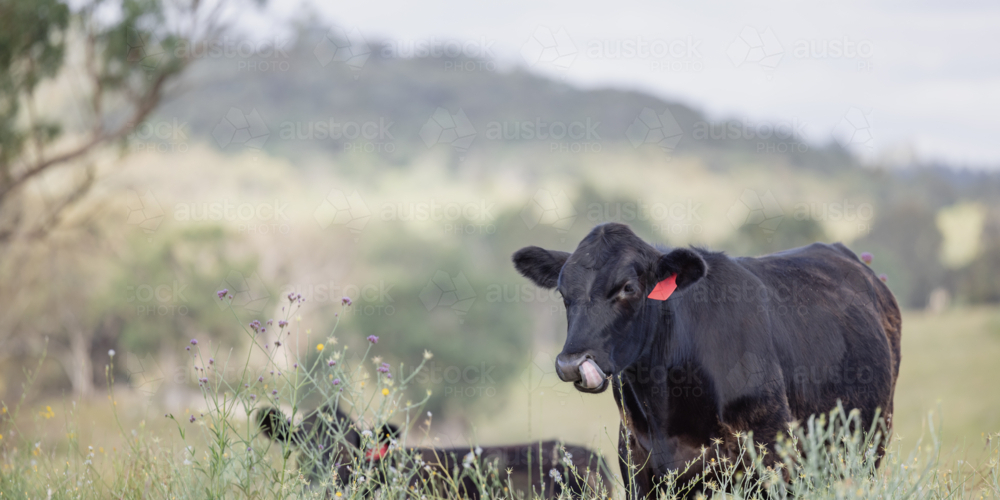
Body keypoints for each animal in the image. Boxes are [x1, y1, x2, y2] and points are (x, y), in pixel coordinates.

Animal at [512, 222, 901, 498]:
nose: (570, 363)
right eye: (564, 292)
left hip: (868, 449)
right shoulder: (637, 465)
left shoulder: (774, 458)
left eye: (628, 288)